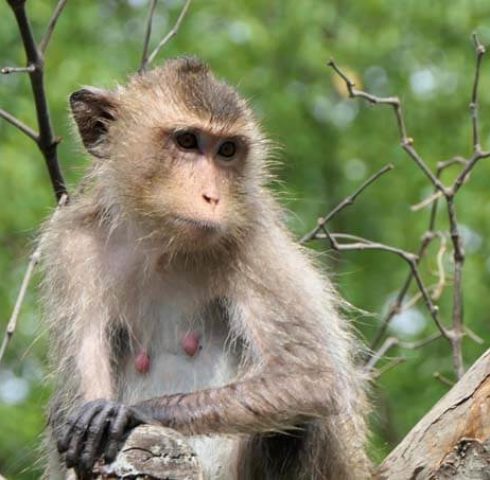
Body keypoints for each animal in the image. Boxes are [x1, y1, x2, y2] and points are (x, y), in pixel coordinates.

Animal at [40, 57, 370, 480]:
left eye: (226, 150)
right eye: (186, 141)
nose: (212, 196)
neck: (163, 246)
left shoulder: (255, 242)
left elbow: (312, 379)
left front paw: (130, 413)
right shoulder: (73, 248)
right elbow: (79, 401)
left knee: (300, 421)